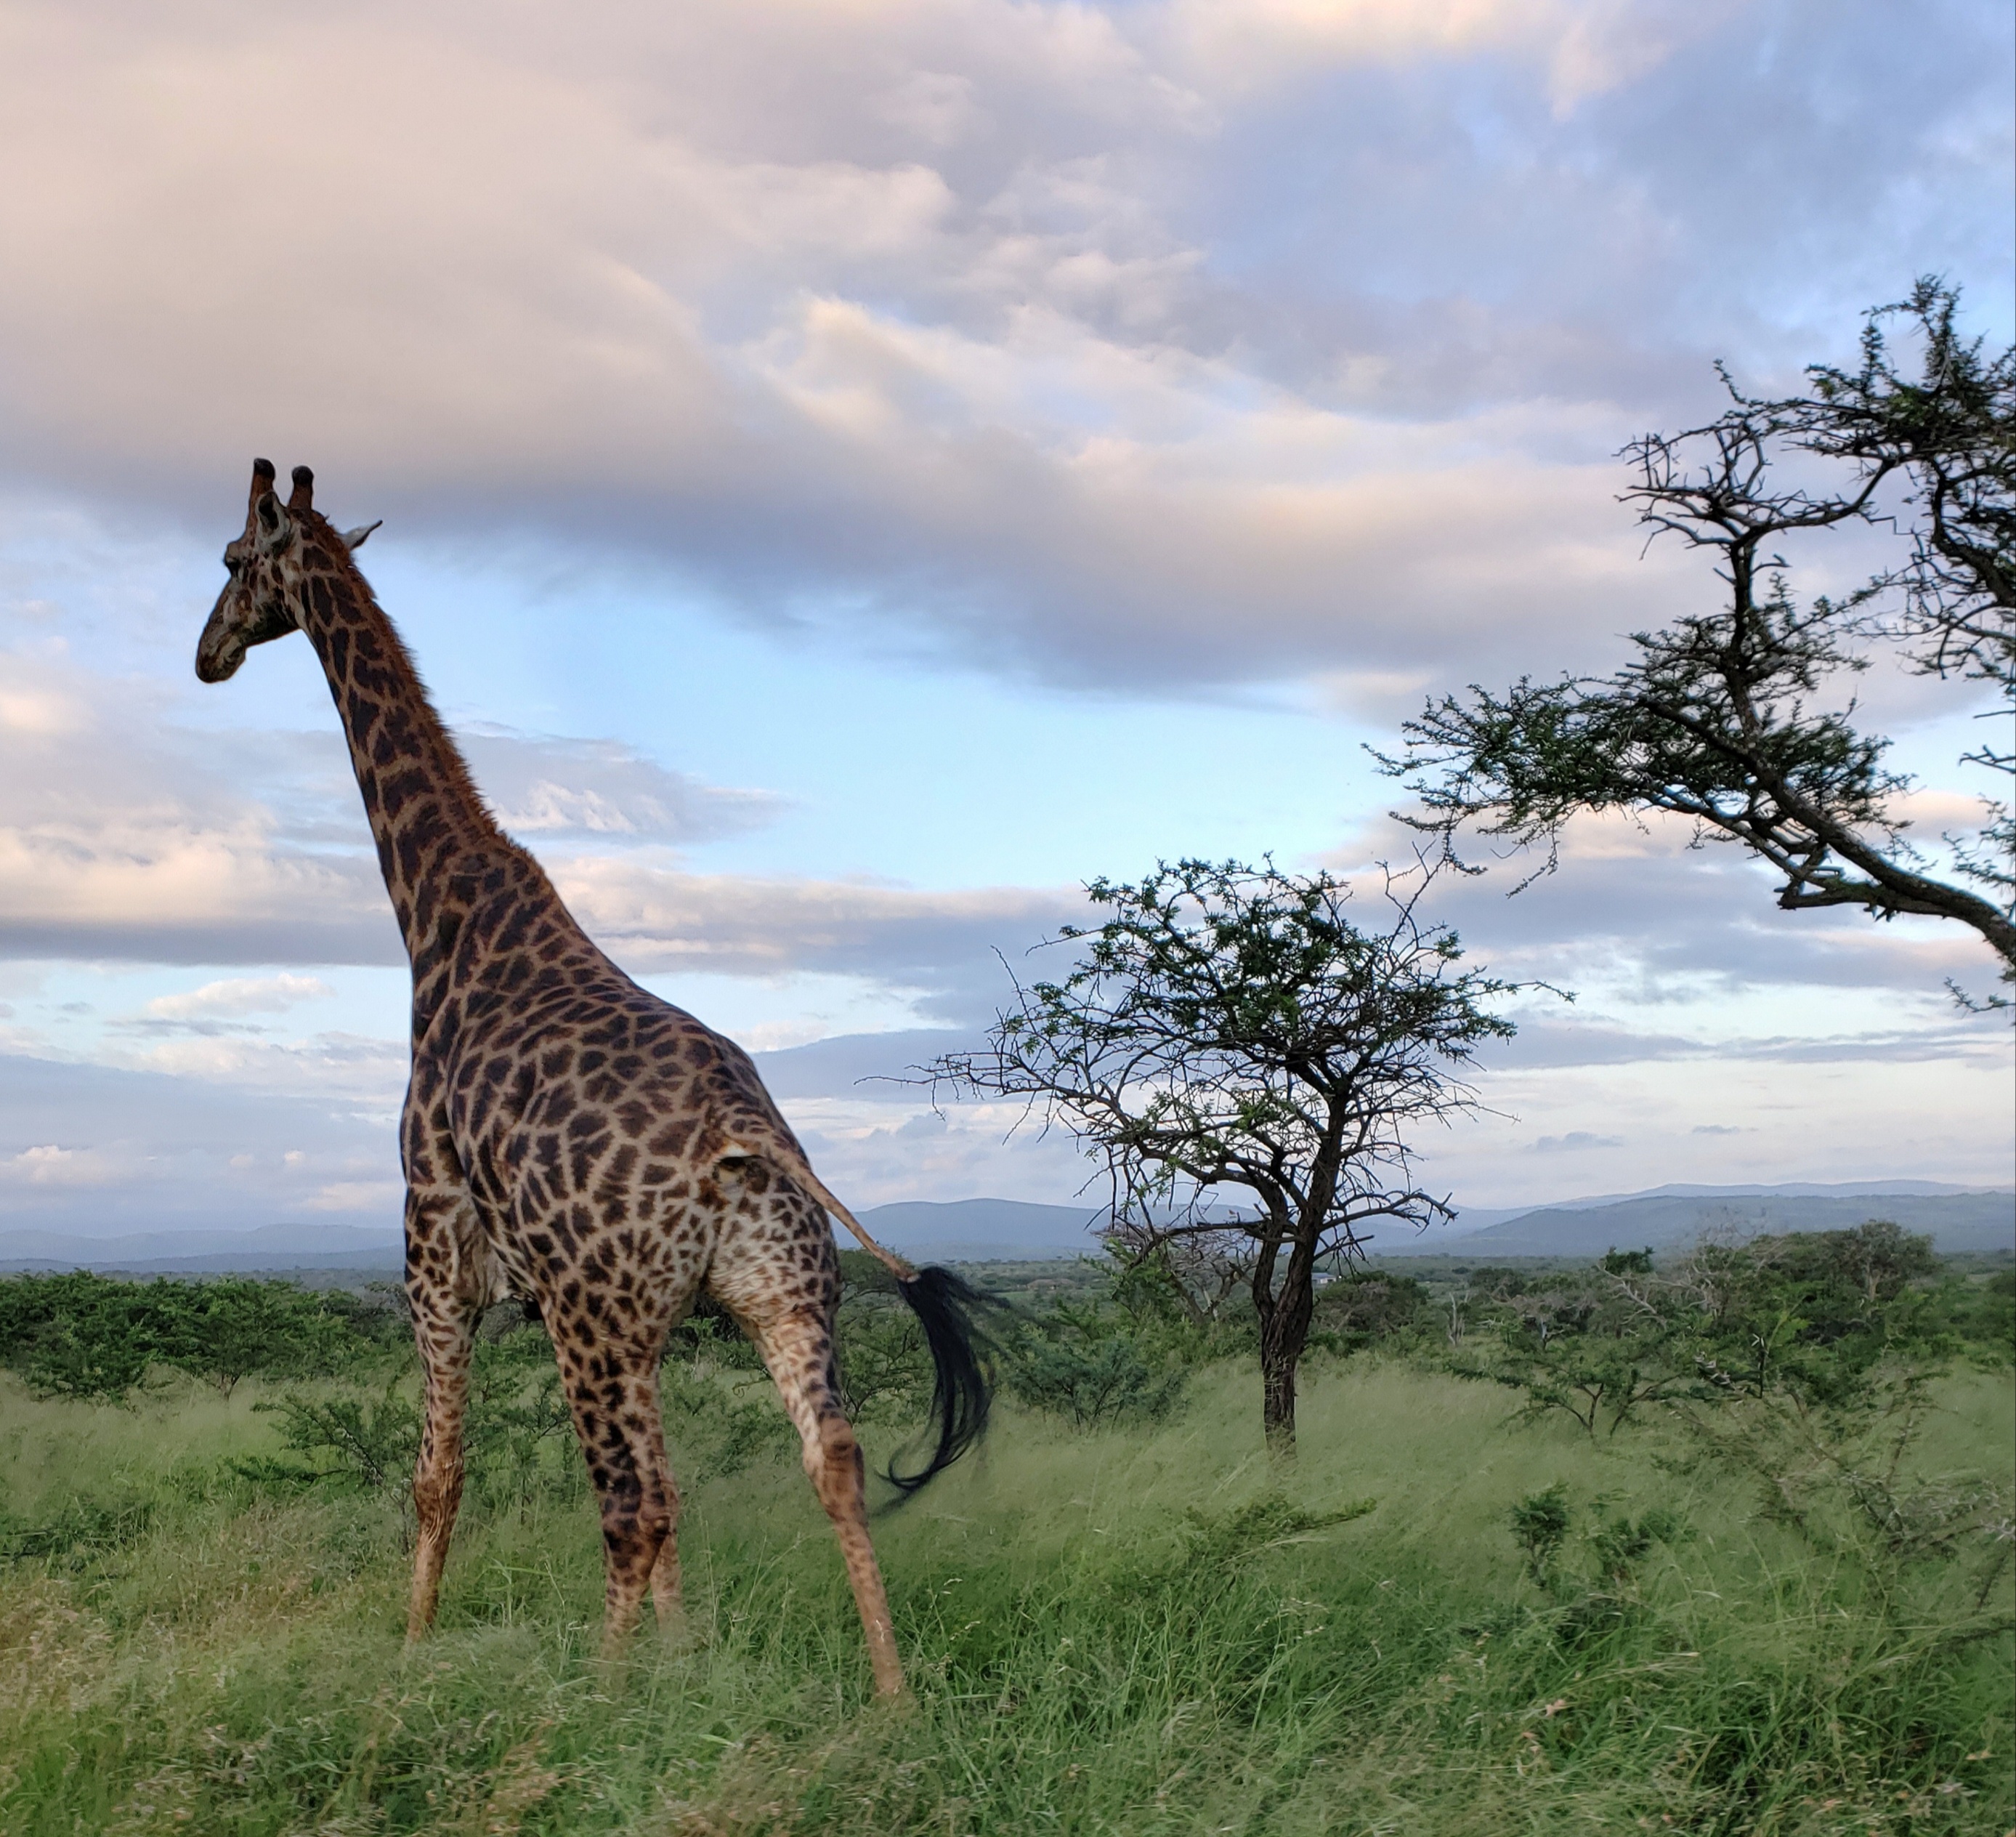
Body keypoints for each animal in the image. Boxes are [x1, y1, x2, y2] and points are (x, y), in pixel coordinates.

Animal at [195, 460, 990, 1696]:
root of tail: (742, 1131)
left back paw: (589, 1706)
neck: (441, 919)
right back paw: (892, 1702)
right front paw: (682, 1665)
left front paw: (413, 1654)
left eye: (234, 562)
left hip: (589, 1312)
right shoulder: (645, 1316)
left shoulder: (434, 1246)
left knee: (631, 1508)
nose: (208, 652)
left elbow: (436, 1478)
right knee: (827, 1466)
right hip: (777, 1293)